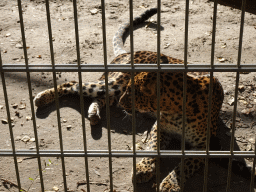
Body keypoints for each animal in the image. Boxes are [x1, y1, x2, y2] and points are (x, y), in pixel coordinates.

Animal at [34, 7, 254, 190]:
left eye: (133, 93)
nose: (124, 102)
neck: (177, 109)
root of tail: (132, 51)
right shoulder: (160, 127)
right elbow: (153, 148)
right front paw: (144, 168)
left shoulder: (204, 146)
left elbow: (185, 164)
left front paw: (170, 183)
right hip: (113, 85)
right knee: (73, 83)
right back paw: (41, 98)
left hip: (113, 91)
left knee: (100, 99)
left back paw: (93, 114)